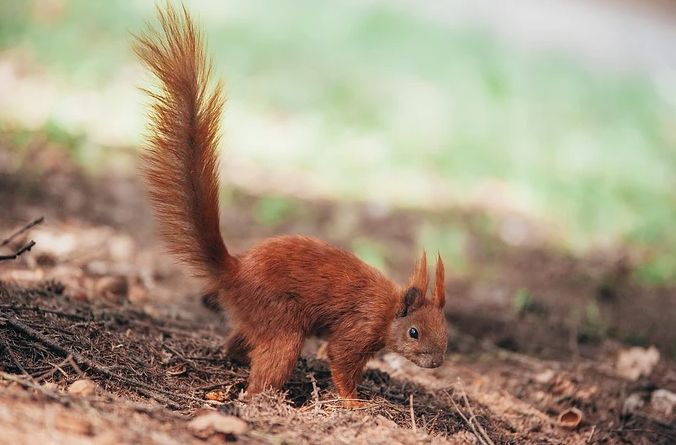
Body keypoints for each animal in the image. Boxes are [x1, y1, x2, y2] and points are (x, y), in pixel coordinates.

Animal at [134, 5, 446, 406]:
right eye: (413, 332)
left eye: (444, 327)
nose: (437, 362)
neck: (390, 308)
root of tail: (234, 272)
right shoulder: (360, 326)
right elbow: (341, 360)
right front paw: (354, 402)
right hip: (280, 321)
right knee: (268, 363)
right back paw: (262, 398)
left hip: (258, 319)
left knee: (239, 342)